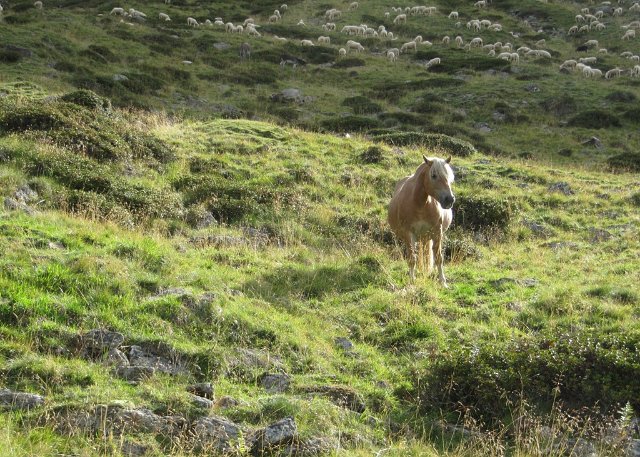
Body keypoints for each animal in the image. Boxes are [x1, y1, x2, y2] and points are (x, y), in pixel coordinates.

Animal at [390, 155, 456, 286]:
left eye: (449, 177)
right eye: (434, 175)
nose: (449, 200)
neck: (420, 204)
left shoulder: (437, 232)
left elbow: (439, 258)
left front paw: (443, 282)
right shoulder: (408, 233)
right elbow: (412, 259)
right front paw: (412, 280)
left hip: (426, 237)